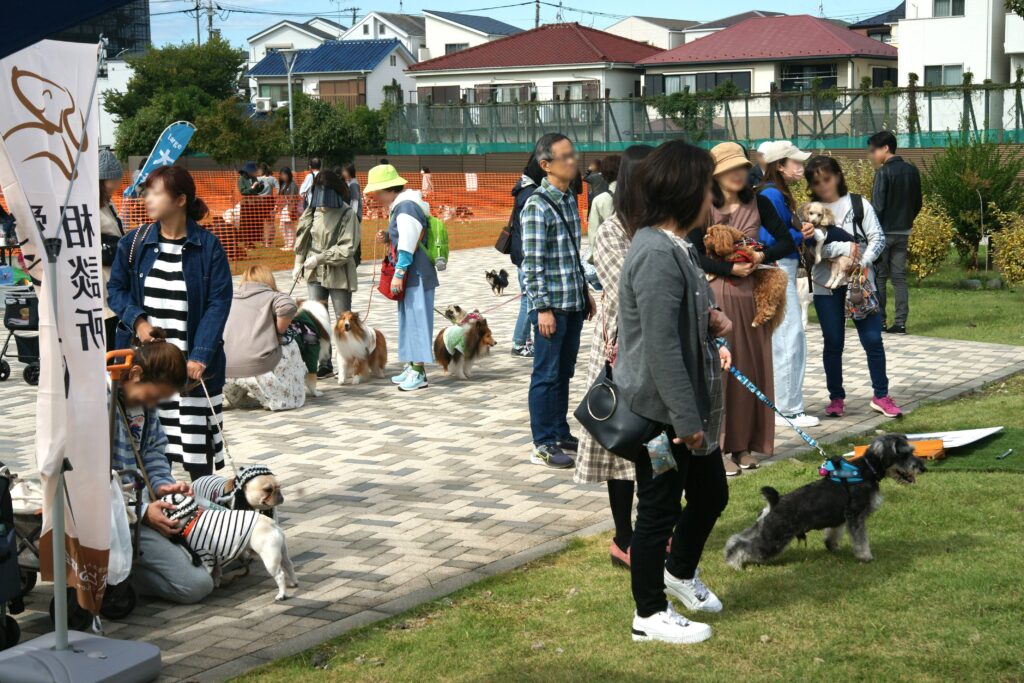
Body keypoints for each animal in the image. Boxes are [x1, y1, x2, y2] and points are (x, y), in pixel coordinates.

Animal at [159, 493, 296, 602]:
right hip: (281, 552)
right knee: (289, 565)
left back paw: (282, 595)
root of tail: (272, 524)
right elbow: (217, 571)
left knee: (280, 574)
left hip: (269, 557)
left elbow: (208, 570)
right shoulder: (214, 556)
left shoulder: (204, 554)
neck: (190, 518)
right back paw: (293, 583)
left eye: (162, 502)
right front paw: (216, 583)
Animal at [724, 436, 925, 569]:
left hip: (765, 530)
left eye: (912, 451)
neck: (866, 470)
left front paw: (831, 546)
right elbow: (861, 539)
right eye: (905, 454)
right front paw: (865, 556)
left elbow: (834, 533)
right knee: (745, 547)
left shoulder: (842, 518)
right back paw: (734, 563)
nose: (923, 467)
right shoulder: (856, 515)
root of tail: (774, 502)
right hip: (773, 540)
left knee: (737, 538)